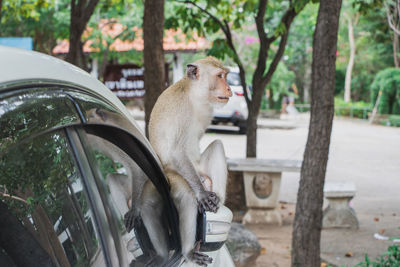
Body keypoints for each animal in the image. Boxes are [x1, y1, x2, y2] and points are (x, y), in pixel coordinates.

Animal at [147, 56, 233, 266]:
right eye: (220, 76)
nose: (229, 89)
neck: (194, 96)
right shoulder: (181, 109)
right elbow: (177, 151)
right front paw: (202, 195)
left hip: (198, 167)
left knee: (217, 146)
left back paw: (217, 199)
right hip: (174, 175)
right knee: (186, 195)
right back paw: (188, 252)